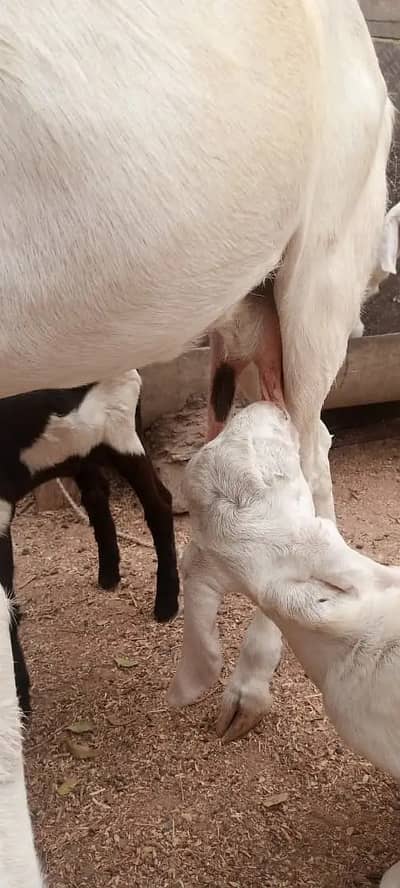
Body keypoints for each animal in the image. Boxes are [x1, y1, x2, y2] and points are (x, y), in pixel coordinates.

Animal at [0, 370, 179, 718]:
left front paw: (20, 701)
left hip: (120, 430)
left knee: (160, 503)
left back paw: (166, 604)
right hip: (79, 447)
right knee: (98, 494)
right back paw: (109, 575)